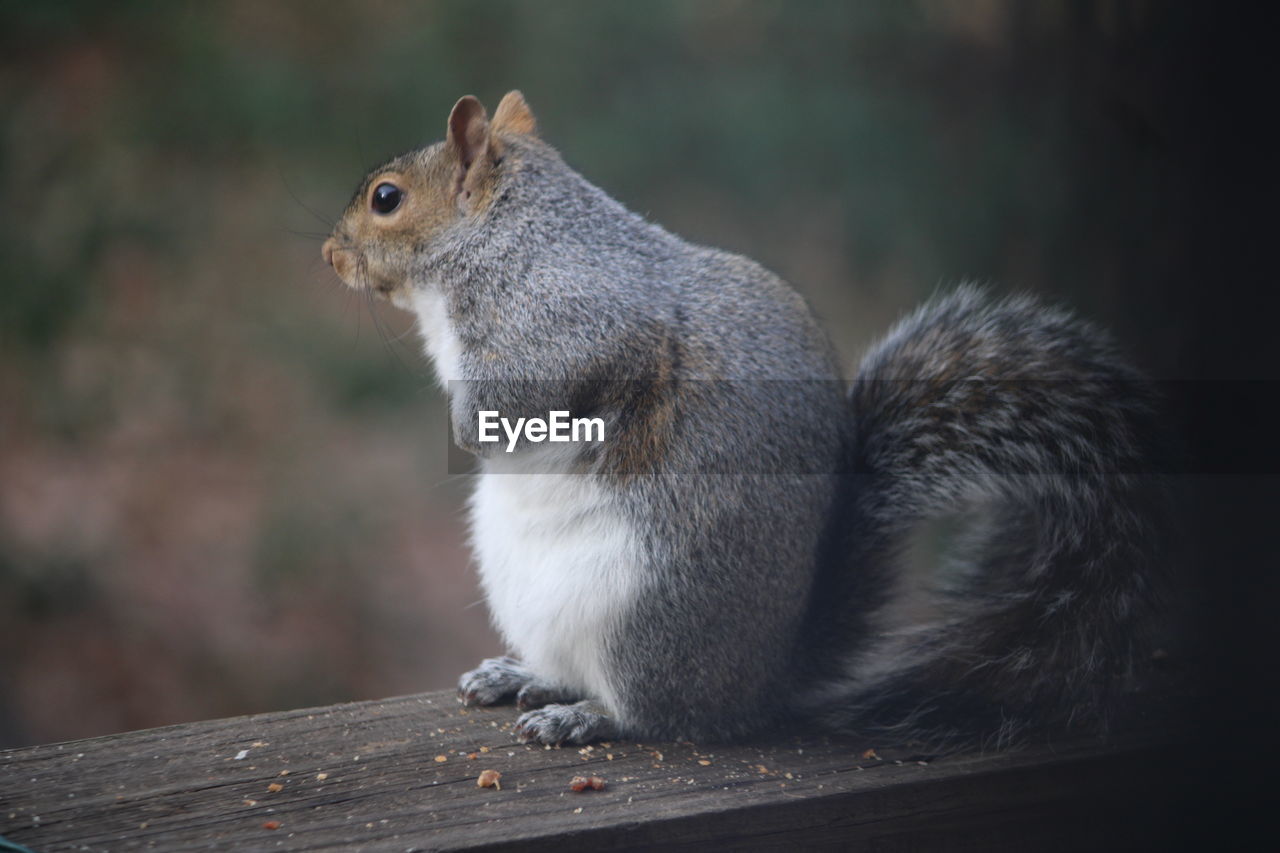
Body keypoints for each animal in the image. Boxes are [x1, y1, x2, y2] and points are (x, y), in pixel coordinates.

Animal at [321, 91, 1166, 749]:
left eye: (387, 198)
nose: (330, 254)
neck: (502, 239)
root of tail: (761, 680)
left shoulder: (563, 323)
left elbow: (520, 402)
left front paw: (464, 426)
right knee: (571, 668)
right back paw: (522, 674)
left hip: (643, 615)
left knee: (658, 714)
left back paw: (586, 717)